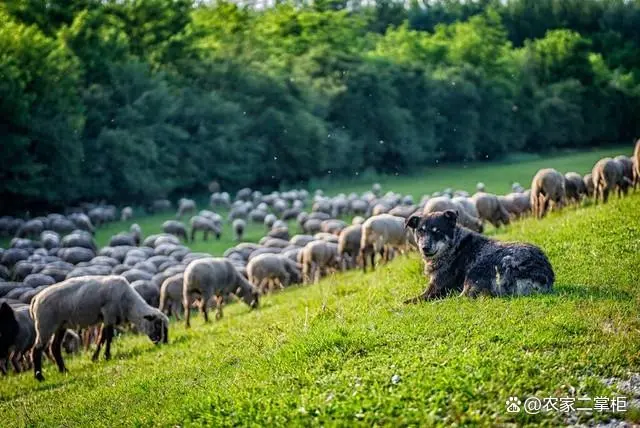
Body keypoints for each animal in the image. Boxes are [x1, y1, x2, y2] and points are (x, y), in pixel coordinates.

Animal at [28, 274, 169, 382]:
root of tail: (35, 300)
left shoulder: (106, 318)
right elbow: (108, 337)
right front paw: (106, 356)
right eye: (157, 324)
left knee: (55, 347)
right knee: (37, 349)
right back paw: (40, 377)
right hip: (45, 325)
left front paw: (95, 358)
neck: (129, 305)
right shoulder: (109, 313)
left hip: (60, 325)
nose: (161, 341)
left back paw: (64, 370)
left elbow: (102, 338)